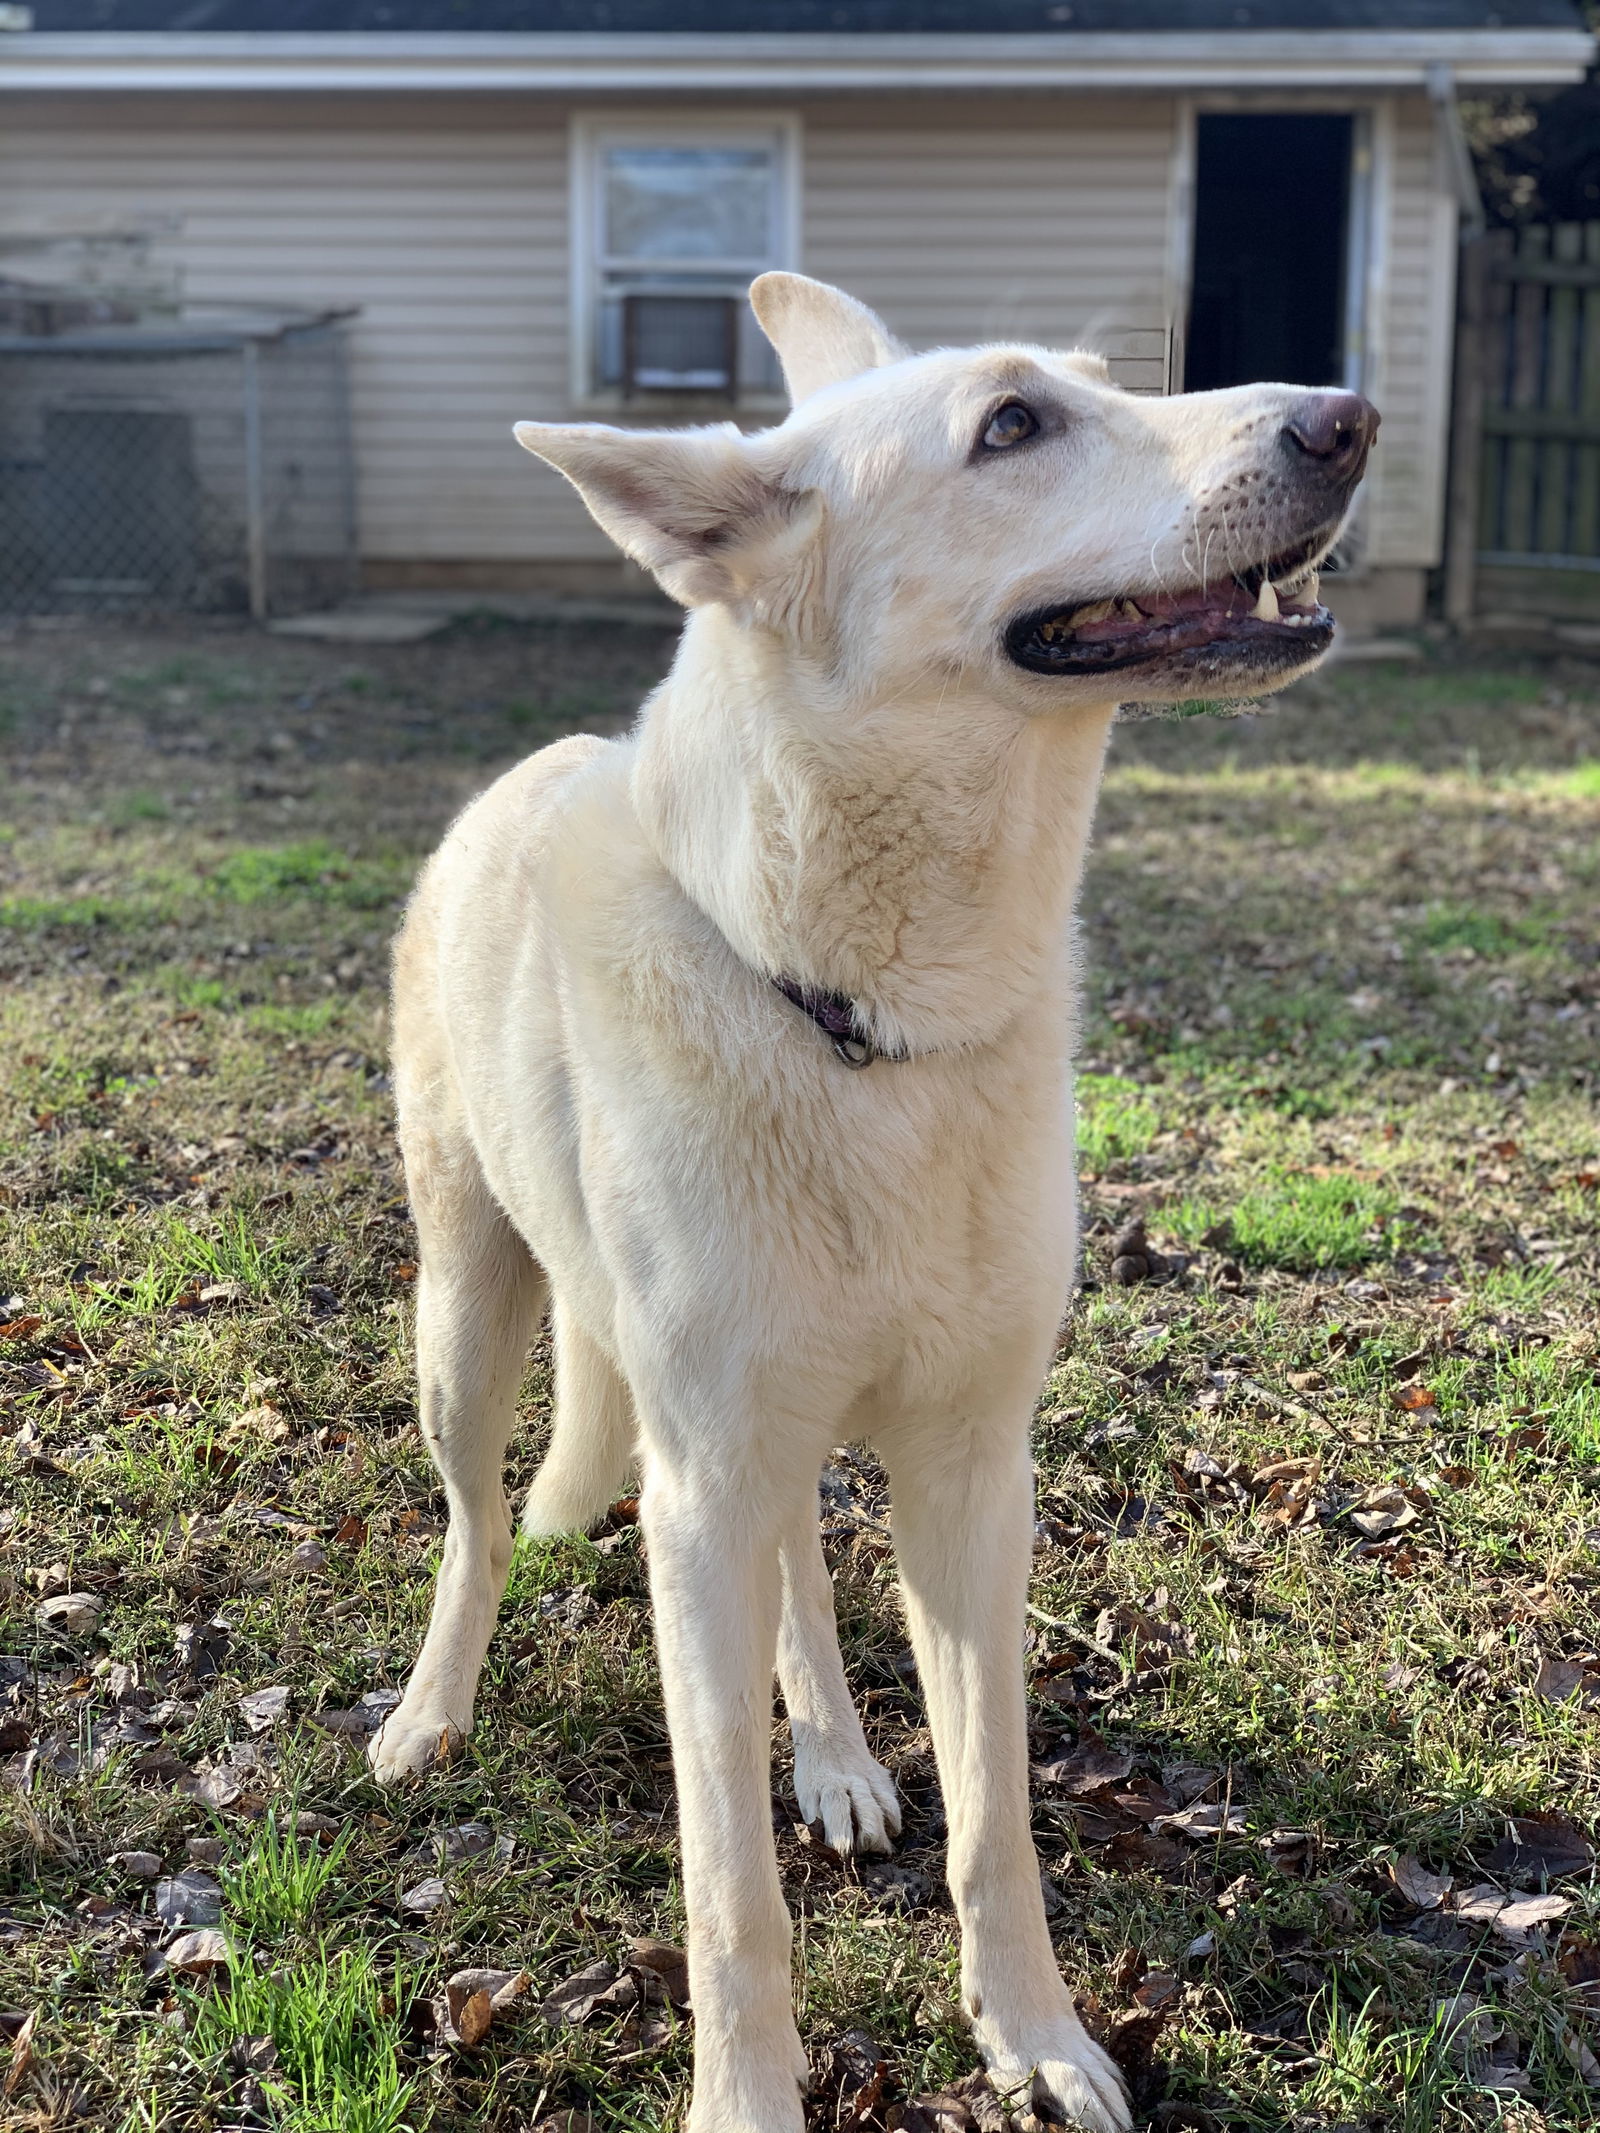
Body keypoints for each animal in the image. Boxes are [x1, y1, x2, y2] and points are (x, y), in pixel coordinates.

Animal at [369, 279, 1373, 2133]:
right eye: (1012, 427)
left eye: (1110, 386)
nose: (1348, 419)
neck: (866, 1018)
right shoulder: (699, 1492)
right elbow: (728, 1888)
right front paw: (747, 2098)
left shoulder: (971, 1473)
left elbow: (996, 1821)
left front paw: (1036, 2036)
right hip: (470, 1322)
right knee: (477, 1527)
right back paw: (430, 1709)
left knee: (802, 1587)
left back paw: (834, 1752)